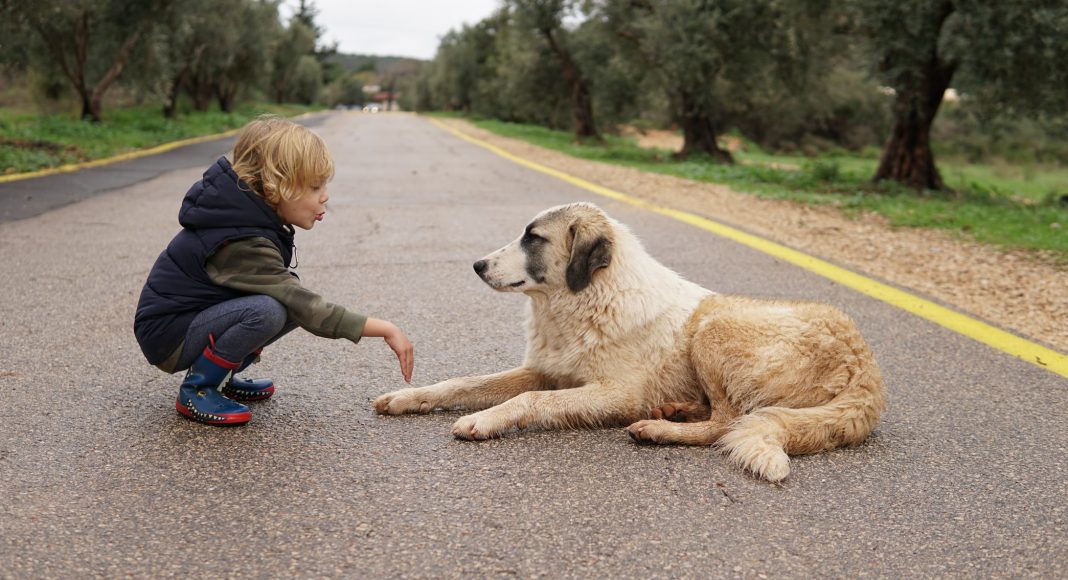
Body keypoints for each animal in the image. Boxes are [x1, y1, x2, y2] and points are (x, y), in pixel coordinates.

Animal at [375, 201, 884, 482]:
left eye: (533, 238)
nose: (477, 265)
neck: (586, 299)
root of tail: (866, 363)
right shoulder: (544, 370)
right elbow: (463, 383)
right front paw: (409, 396)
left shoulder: (615, 393)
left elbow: (531, 400)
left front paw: (484, 420)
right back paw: (675, 411)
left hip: (713, 329)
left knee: (727, 423)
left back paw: (659, 429)